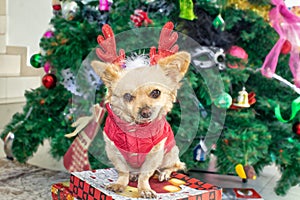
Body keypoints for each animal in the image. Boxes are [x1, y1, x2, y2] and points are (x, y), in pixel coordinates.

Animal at [91, 50, 190, 198]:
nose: (146, 112)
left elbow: (145, 174)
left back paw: (164, 173)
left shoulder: (155, 154)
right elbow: (122, 171)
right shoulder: (113, 150)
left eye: (156, 93)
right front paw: (120, 183)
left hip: (170, 154)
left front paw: (145, 189)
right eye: (127, 96)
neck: (136, 128)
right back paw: (133, 175)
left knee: (175, 166)